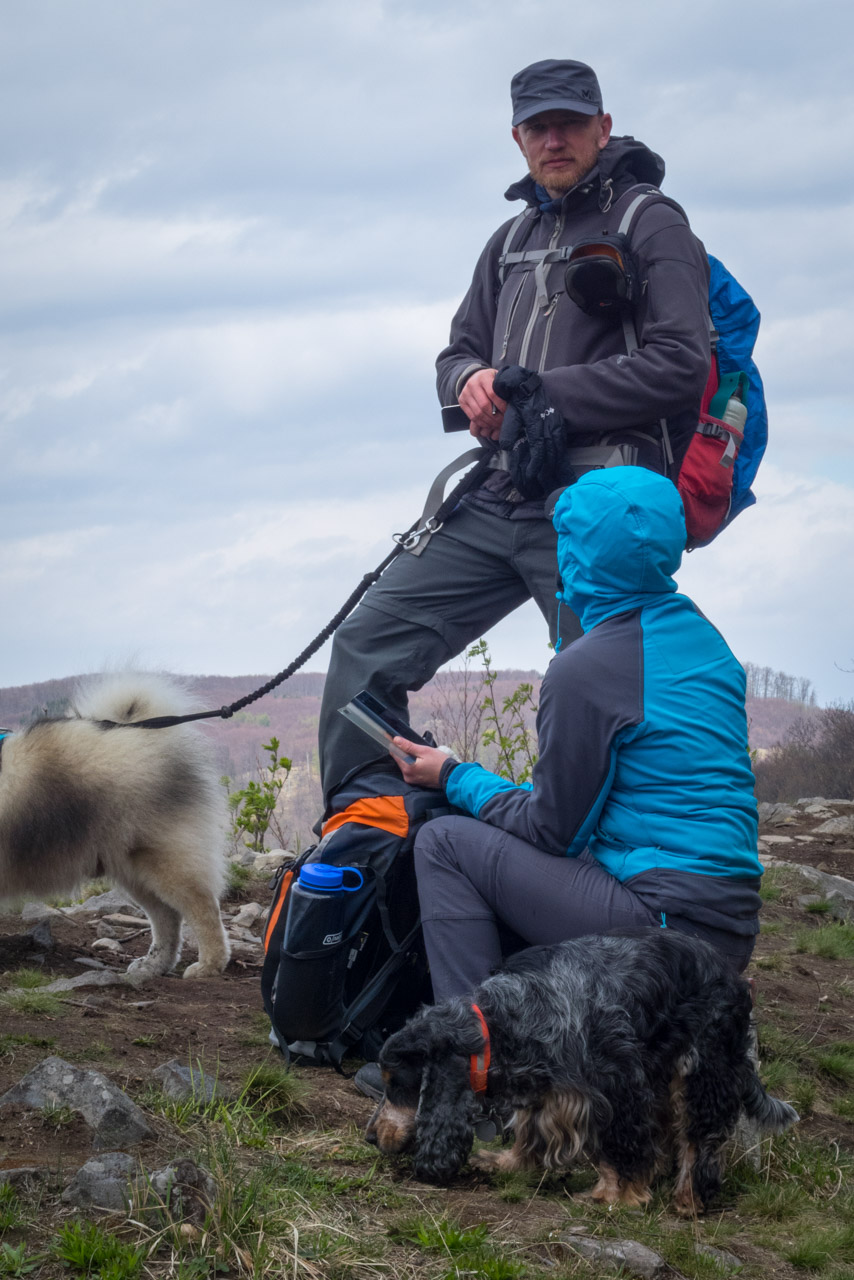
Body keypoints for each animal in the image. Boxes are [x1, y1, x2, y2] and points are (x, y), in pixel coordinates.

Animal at [0, 670, 230, 977]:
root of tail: (145, 732)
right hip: (133, 868)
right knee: (166, 917)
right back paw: (153, 964)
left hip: (164, 860)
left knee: (202, 910)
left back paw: (208, 965)